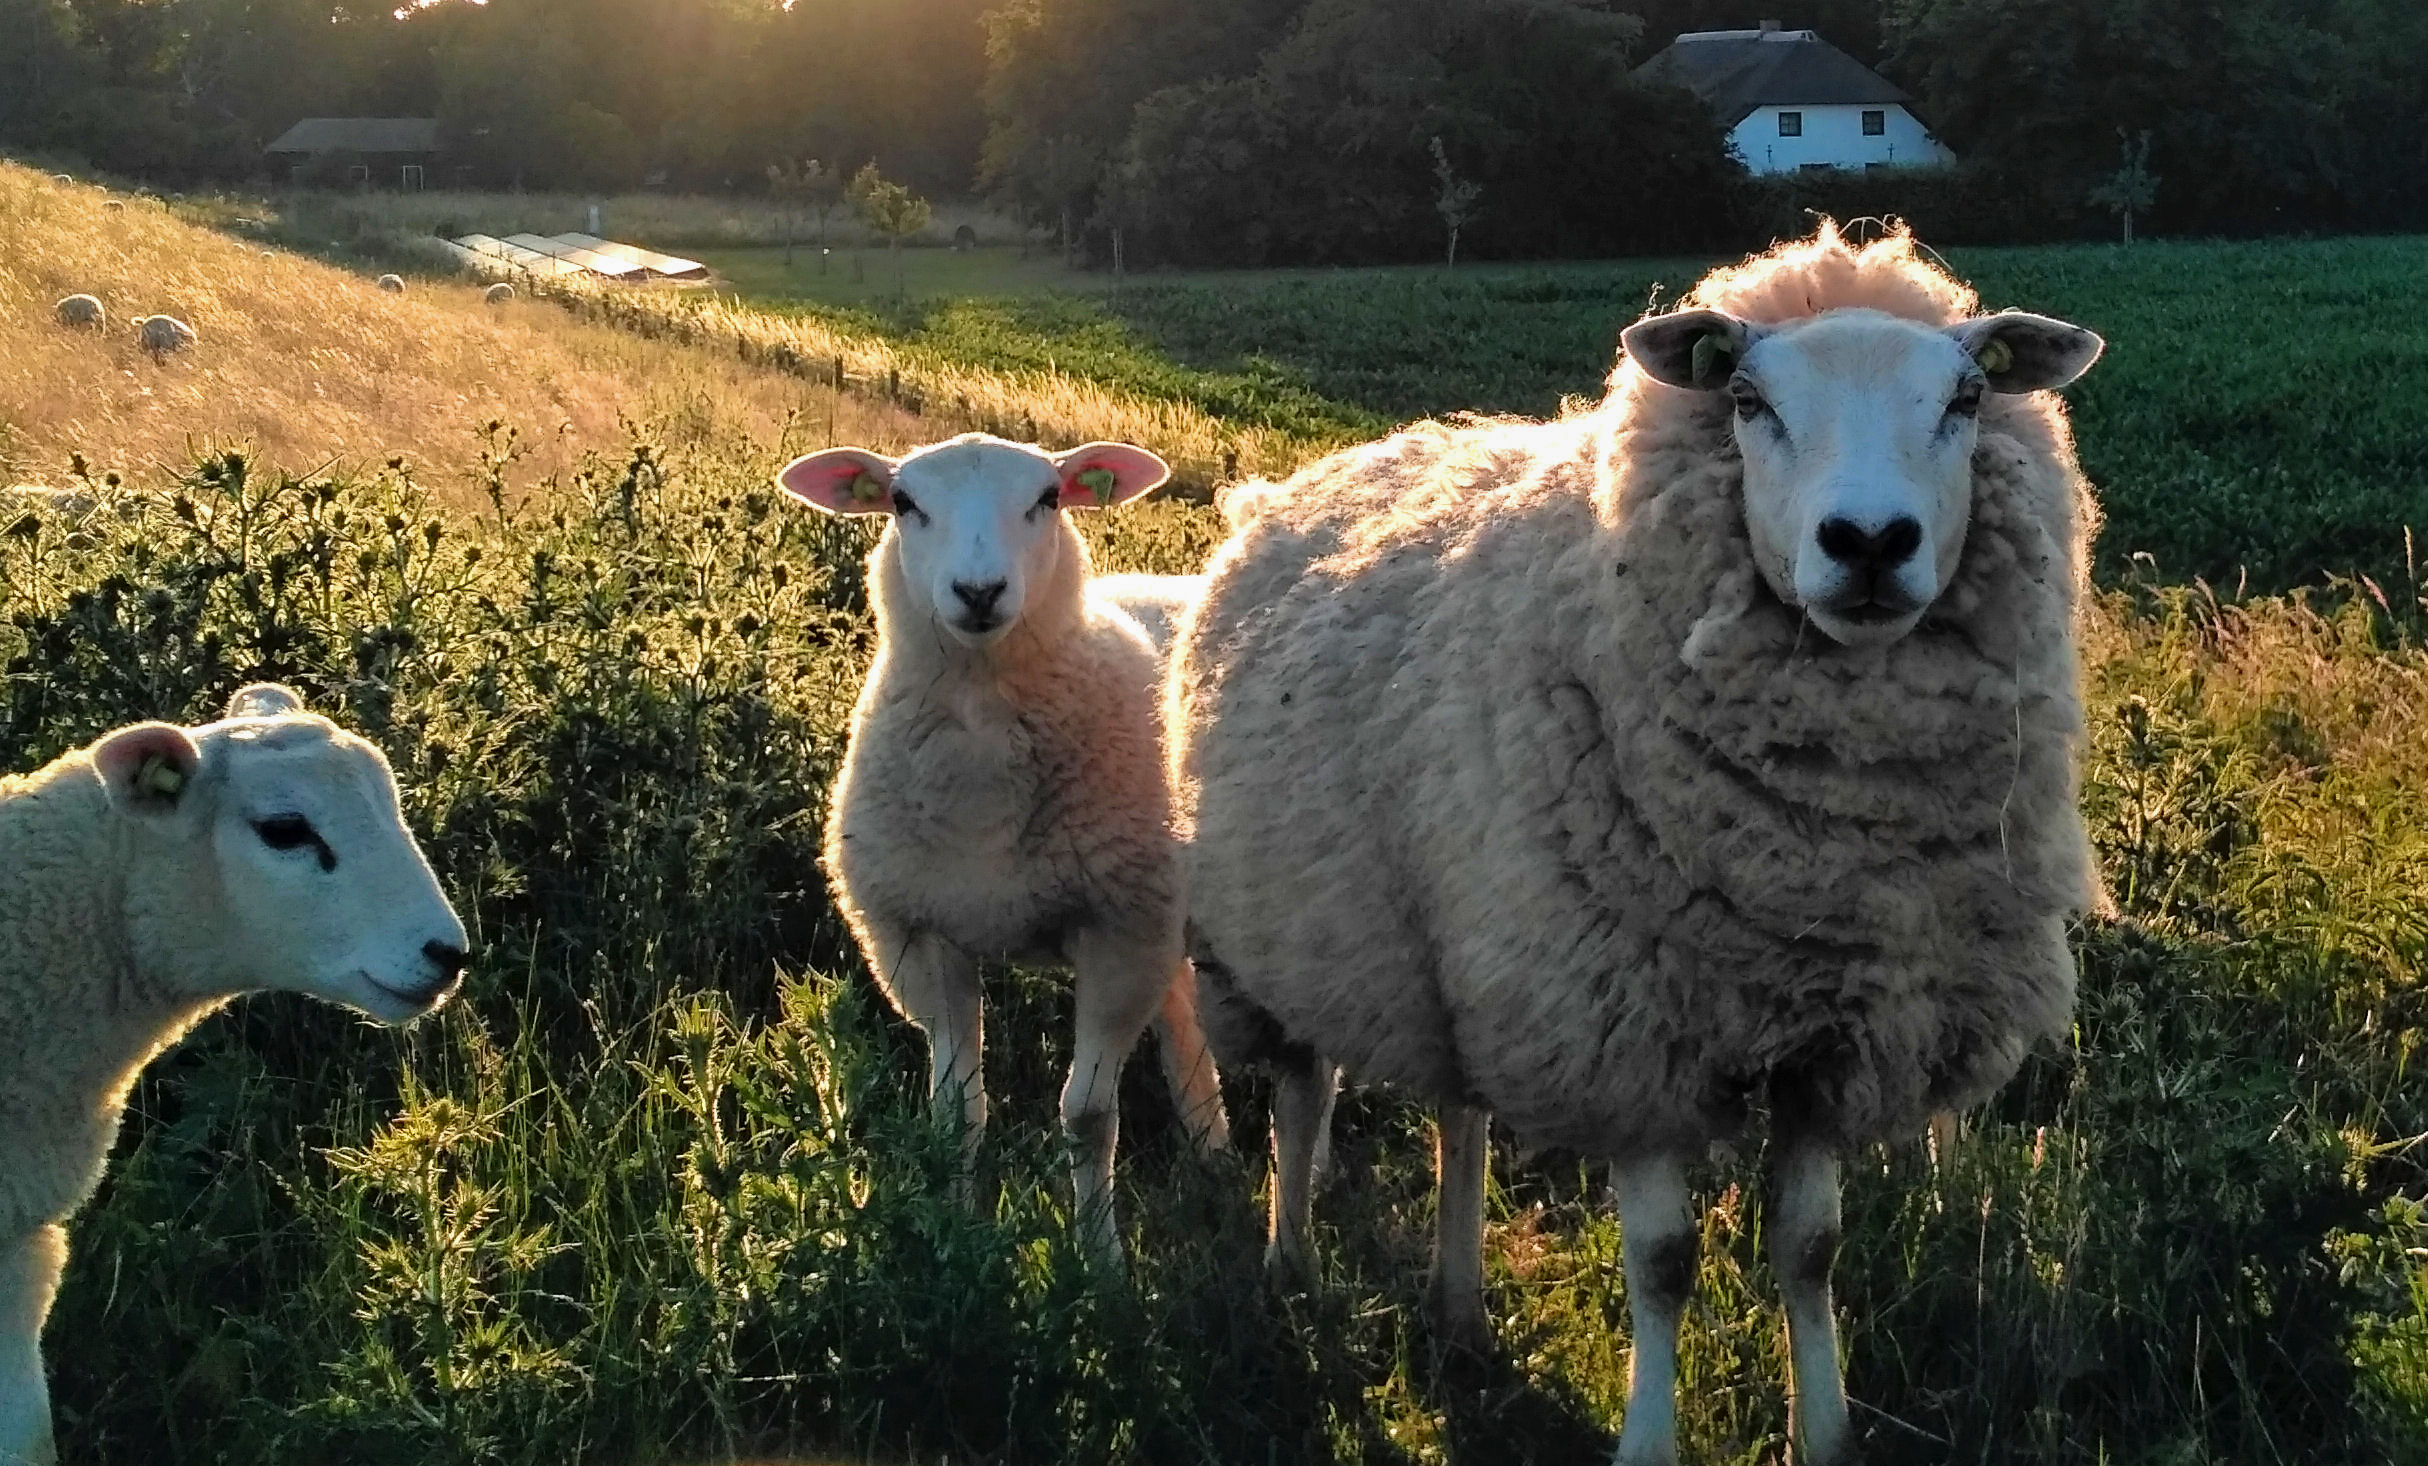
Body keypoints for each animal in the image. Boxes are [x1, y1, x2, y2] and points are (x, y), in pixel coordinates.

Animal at [776, 432, 1230, 1263]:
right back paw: (1213, 1151)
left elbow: (1087, 1116)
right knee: (1184, 1019)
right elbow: (957, 1113)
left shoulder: (1118, 936)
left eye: (1047, 498)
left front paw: (1100, 1263)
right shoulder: (923, 938)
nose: (979, 591)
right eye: (903, 503)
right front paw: (954, 1237)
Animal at [1168, 224, 2105, 1466]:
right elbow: (1662, 1261)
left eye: (1964, 396)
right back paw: (1291, 1264)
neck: (1811, 859)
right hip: (1284, 932)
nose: (1867, 543)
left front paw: (1825, 1433)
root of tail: (1307, 476)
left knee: (1460, 1115)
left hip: (1465, 950)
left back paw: (1458, 1309)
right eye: (1748, 400)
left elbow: (1810, 1249)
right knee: (1303, 1092)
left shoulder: (1830, 1040)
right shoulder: (1629, 1030)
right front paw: (1648, 1437)